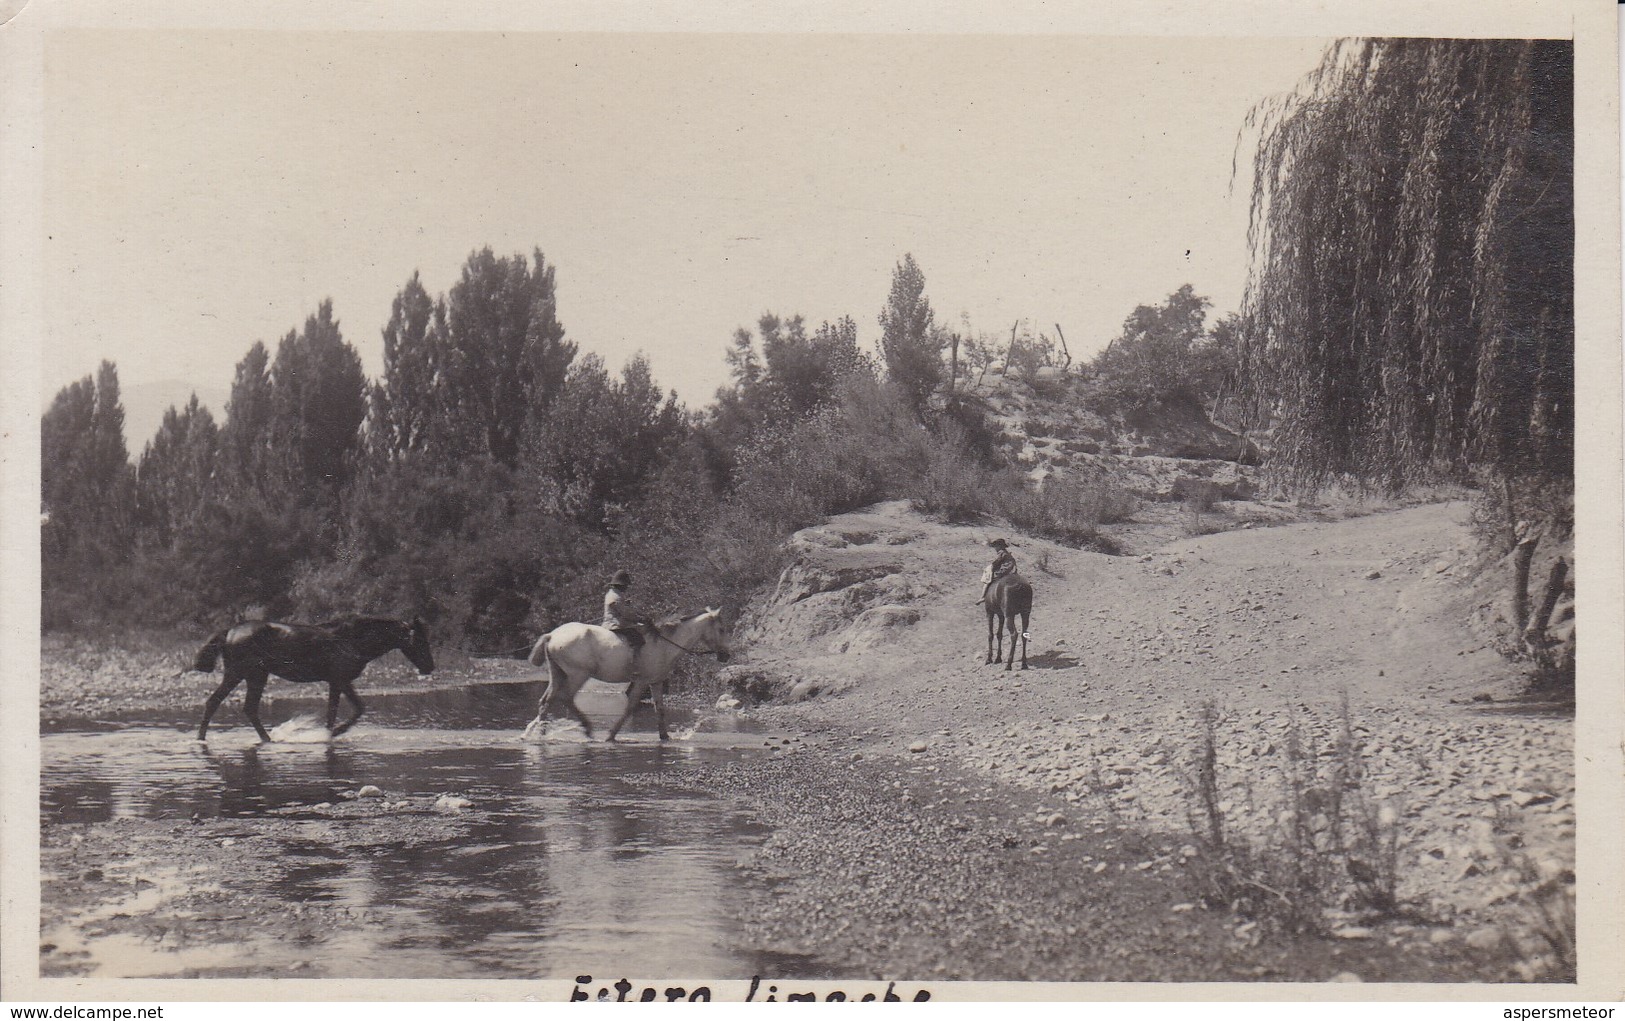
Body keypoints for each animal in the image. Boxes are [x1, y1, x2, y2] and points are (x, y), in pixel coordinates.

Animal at [190, 614, 435, 741]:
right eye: (419, 640)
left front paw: (328, 735)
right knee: (223, 704)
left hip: (251, 676)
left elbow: (332, 713)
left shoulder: (335, 683)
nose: (430, 667)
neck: (353, 640)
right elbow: (358, 709)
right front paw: (332, 734)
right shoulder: (342, 680)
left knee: (236, 706)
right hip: (244, 674)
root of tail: (230, 631)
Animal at [520, 604, 731, 741]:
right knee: (566, 698)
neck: (664, 643)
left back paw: (540, 733)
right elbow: (630, 708)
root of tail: (552, 635)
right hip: (577, 675)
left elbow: (660, 709)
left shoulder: (655, 681)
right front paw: (611, 735)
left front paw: (664, 736)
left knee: (546, 701)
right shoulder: (642, 681)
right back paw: (586, 729)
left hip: (557, 674)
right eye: (721, 629)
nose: (726, 655)